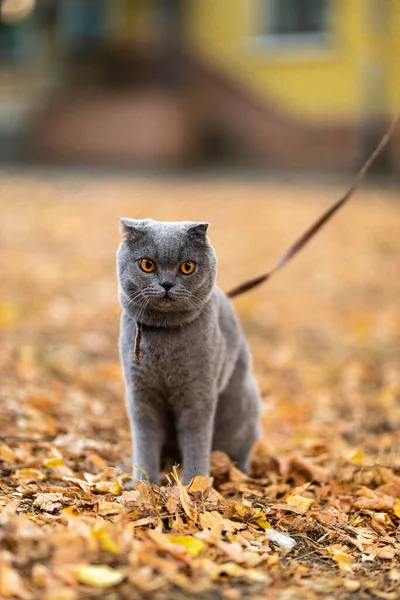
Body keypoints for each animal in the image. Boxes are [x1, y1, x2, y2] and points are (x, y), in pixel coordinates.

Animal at [117, 218, 260, 486]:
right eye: (147, 264)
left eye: (187, 267)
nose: (166, 284)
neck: (164, 337)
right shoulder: (140, 394)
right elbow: (144, 443)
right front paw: (142, 484)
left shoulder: (197, 393)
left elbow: (195, 442)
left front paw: (194, 485)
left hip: (240, 410)